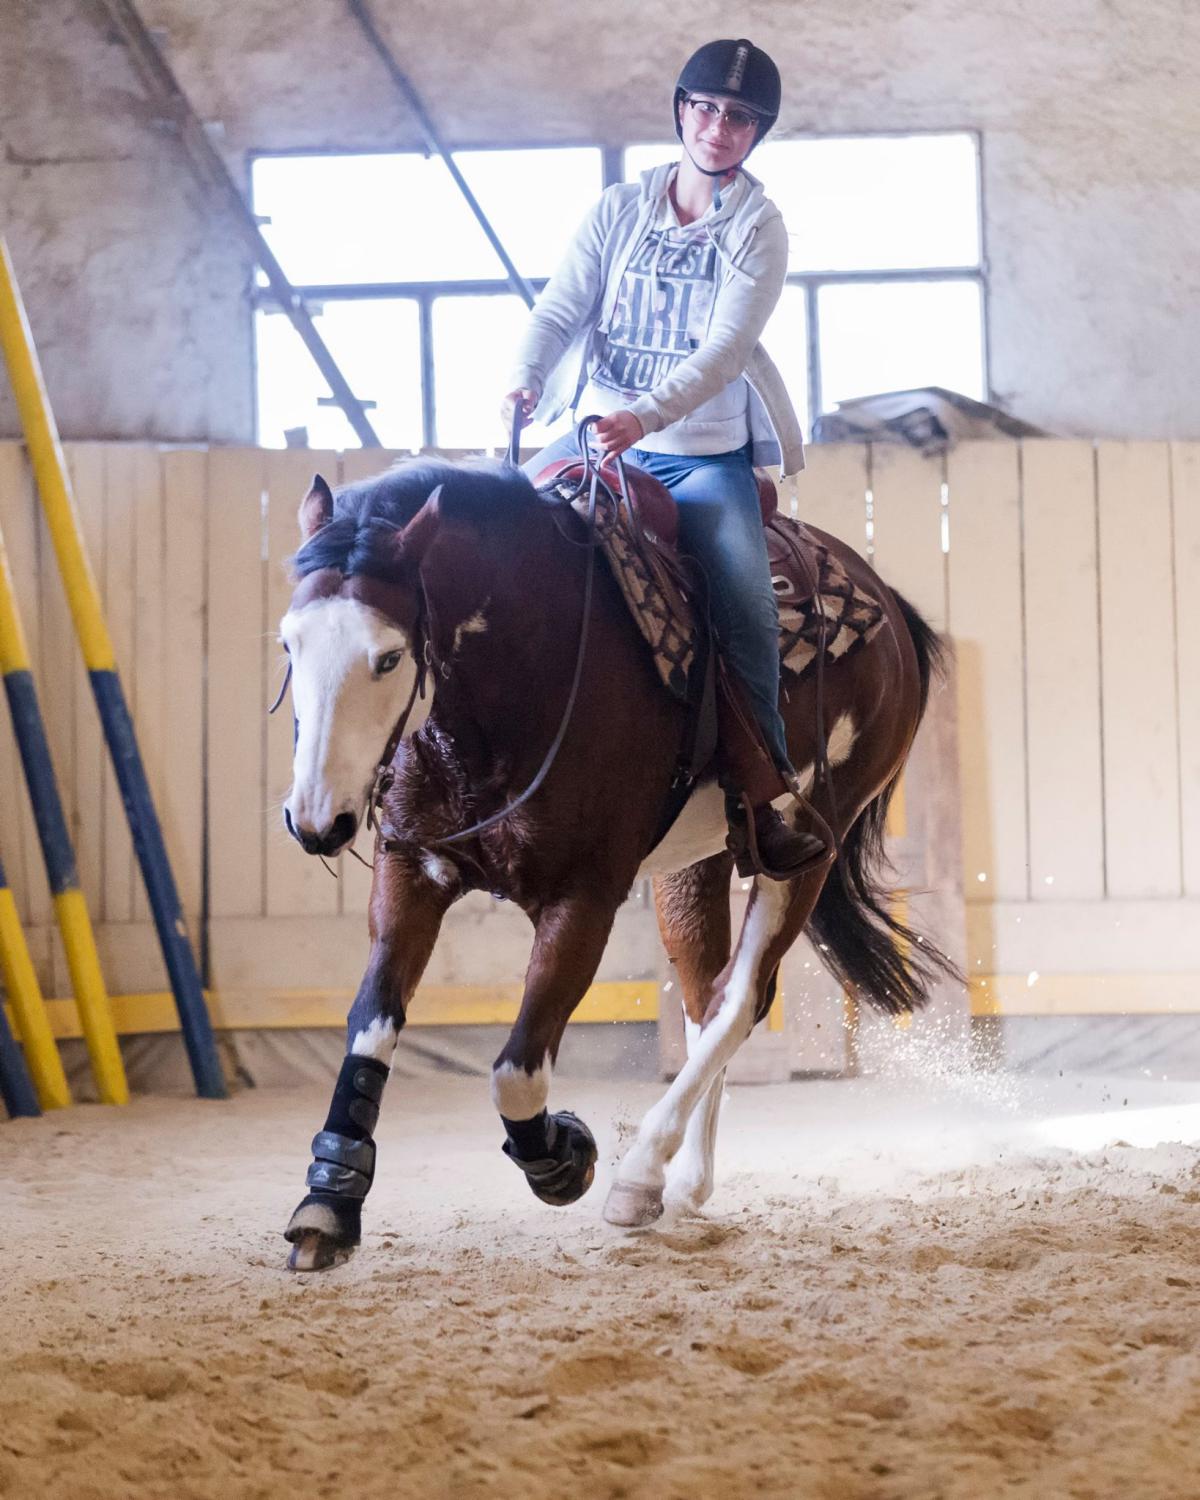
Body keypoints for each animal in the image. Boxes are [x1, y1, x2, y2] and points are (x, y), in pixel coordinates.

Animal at [274, 453, 954, 1266]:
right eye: (288, 644)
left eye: (387, 656)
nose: (318, 819)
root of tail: (889, 606)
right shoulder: (412, 870)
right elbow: (371, 1025)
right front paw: (328, 1202)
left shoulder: (584, 897)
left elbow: (516, 1069)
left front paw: (564, 1158)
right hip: (695, 864)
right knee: (705, 1000)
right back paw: (684, 1182)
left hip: (805, 849)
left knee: (738, 1000)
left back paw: (640, 1174)